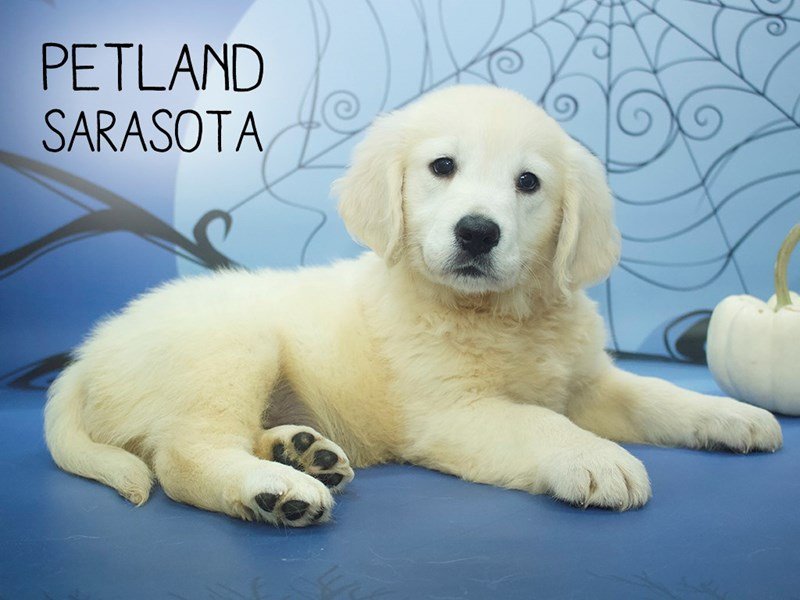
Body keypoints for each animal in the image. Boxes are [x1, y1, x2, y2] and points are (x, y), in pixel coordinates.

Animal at [45, 85, 782, 526]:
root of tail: (86, 356)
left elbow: (657, 394)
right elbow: (543, 424)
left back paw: (301, 451)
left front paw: (733, 415)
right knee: (183, 456)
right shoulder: (452, 412)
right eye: (442, 167)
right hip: (228, 347)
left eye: (528, 182)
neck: (499, 315)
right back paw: (277, 490)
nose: (478, 232)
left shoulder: (588, 383)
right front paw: (595, 458)